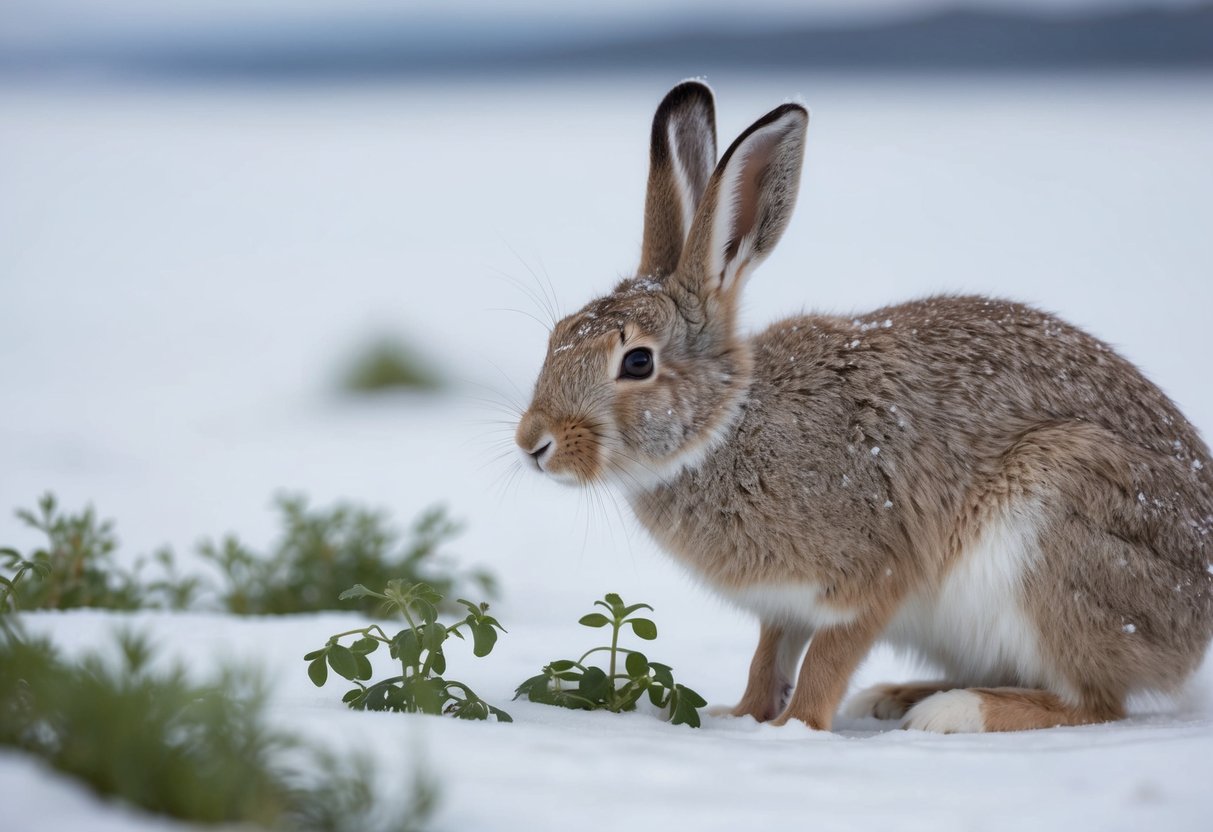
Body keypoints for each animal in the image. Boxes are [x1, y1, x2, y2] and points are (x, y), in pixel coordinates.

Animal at [514, 80, 1213, 733]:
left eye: (637, 363)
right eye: (558, 335)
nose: (533, 444)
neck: (725, 427)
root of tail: (1198, 615)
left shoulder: (872, 574)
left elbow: (828, 657)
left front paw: (794, 730)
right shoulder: (783, 606)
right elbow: (768, 657)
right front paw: (740, 717)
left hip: (1055, 535)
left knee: (1094, 703)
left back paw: (951, 712)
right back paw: (899, 695)